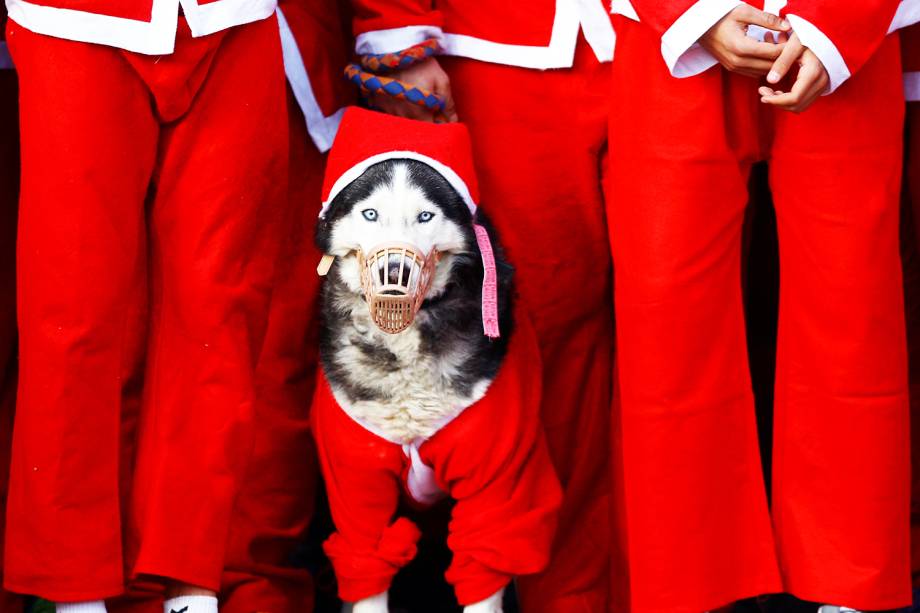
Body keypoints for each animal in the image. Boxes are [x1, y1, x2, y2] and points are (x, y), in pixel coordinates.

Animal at [316, 159, 516, 612]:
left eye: (426, 216)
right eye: (370, 213)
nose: (394, 271)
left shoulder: (497, 477)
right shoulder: (355, 478)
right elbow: (366, 561)